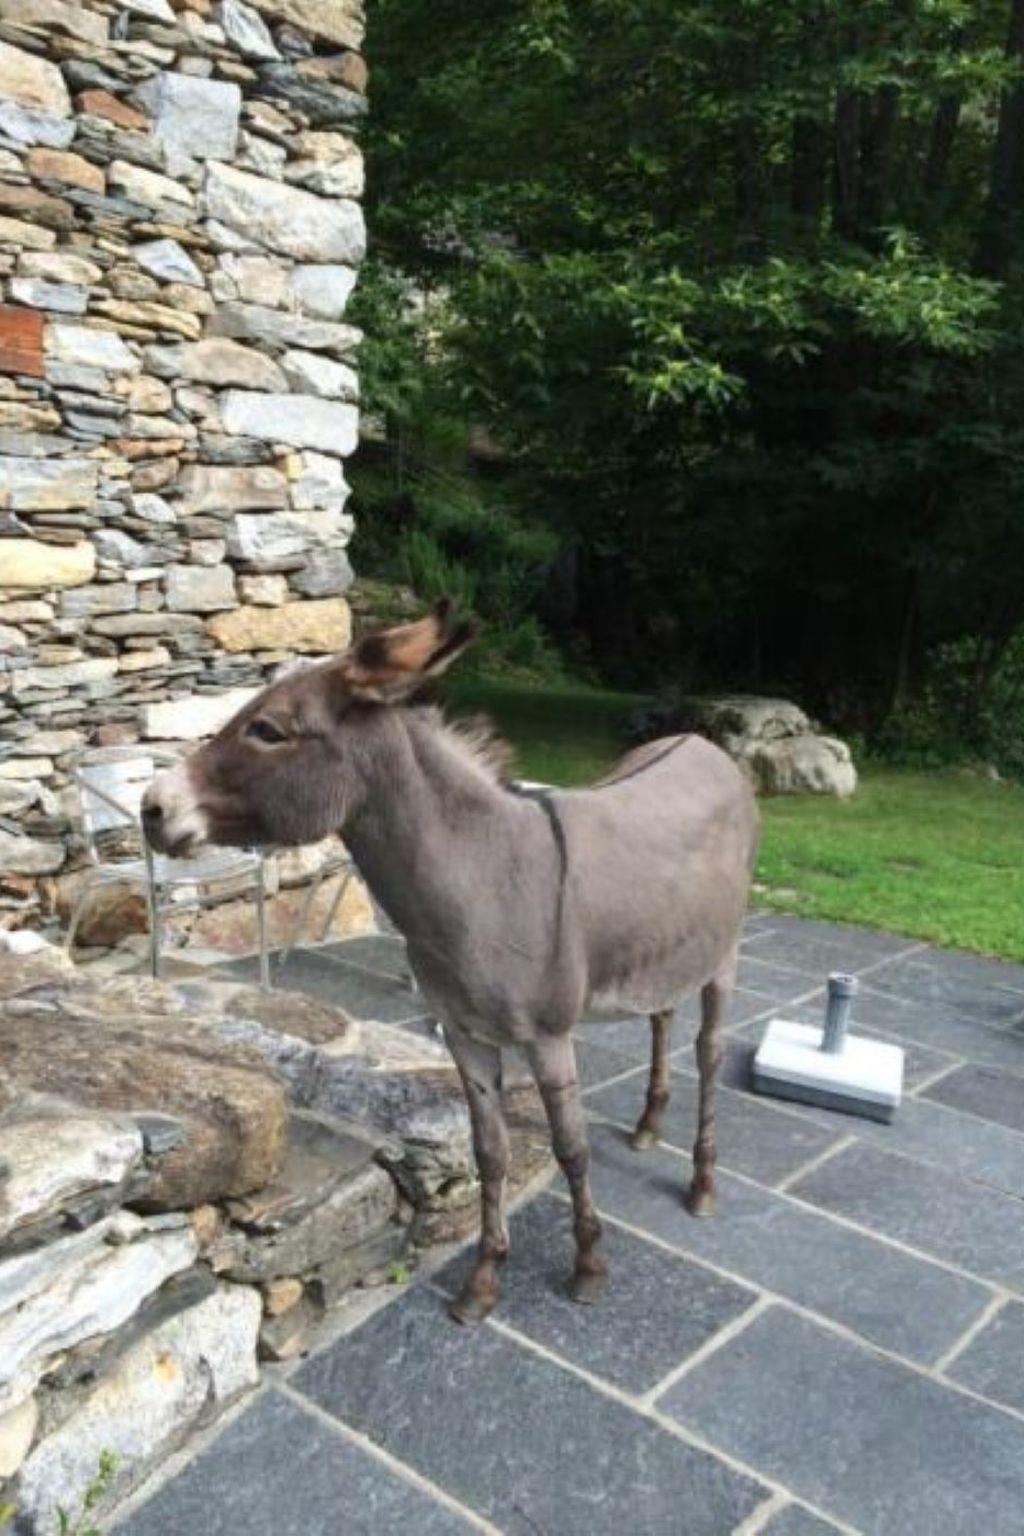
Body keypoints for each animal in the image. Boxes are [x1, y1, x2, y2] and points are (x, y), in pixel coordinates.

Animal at [142, 600, 759, 1325]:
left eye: (268, 730)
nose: (152, 807)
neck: (483, 872)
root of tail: (701, 743)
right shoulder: (465, 1035)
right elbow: (488, 1153)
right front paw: (485, 1279)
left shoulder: (548, 1039)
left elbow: (571, 1149)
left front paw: (588, 1266)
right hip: (664, 948)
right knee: (661, 1017)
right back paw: (647, 1126)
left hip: (725, 955)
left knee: (710, 1050)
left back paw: (702, 1182)